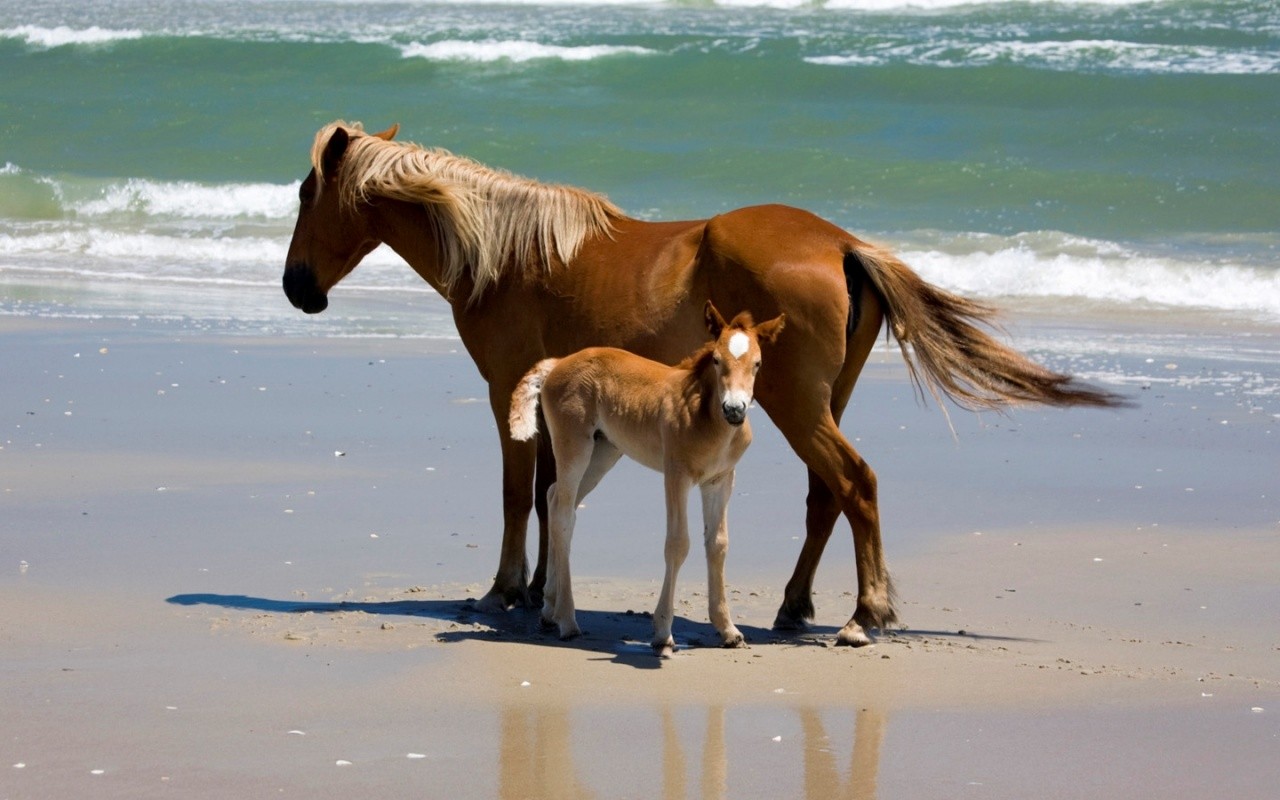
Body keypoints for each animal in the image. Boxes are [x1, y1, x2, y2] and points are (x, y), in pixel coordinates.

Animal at [506, 299, 783, 655]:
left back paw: (549, 610)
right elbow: (678, 543)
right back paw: (567, 621)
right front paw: (663, 632)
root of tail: (556, 364)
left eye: (758, 364)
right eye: (717, 360)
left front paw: (728, 630)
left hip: (604, 453)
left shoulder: (720, 480)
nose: (734, 409)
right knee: (564, 513)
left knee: (555, 500)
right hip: (574, 448)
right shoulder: (676, 476)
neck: (708, 419)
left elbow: (718, 543)